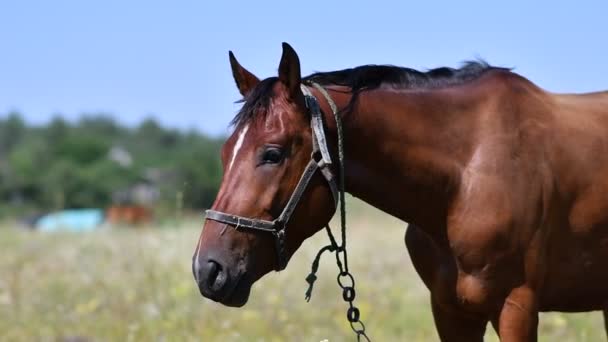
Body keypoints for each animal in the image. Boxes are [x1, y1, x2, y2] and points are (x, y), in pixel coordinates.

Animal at [192, 43, 608, 342]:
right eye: (226, 152)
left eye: (272, 153)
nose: (208, 269)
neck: (467, 175)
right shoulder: (450, 310)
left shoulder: (516, 308)